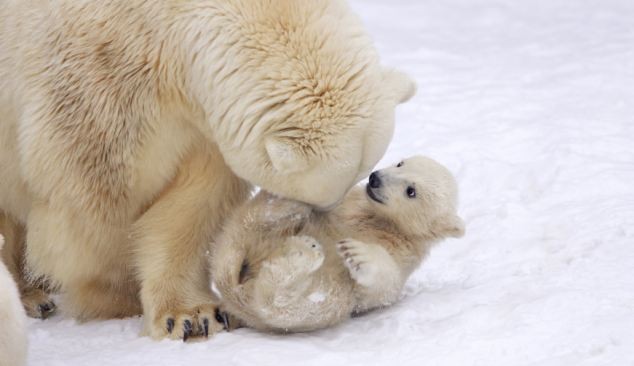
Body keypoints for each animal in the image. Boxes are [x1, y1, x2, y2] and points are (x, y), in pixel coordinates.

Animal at [0, 0, 414, 338]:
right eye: (317, 197)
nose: (323, 220)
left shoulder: (201, 123)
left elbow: (193, 205)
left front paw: (193, 316)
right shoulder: (96, 87)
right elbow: (96, 203)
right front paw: (120, 298)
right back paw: (31, 296)